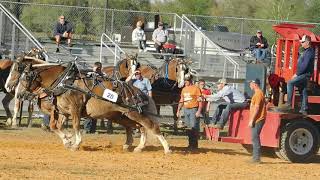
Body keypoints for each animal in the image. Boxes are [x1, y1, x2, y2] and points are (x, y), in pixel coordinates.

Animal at [6, 58, 171, 153]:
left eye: (25, 77)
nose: (17, 93)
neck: (64, 81)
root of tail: (138, 91)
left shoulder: (75, 109)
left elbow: (75, 126)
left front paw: (75, 143)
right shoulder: (62, 111)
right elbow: (55, 126)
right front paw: (67, 140)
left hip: (134, 113)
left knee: (150, 127)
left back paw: (166, 148)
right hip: (121, 116)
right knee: (137, 127)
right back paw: (135, 146)